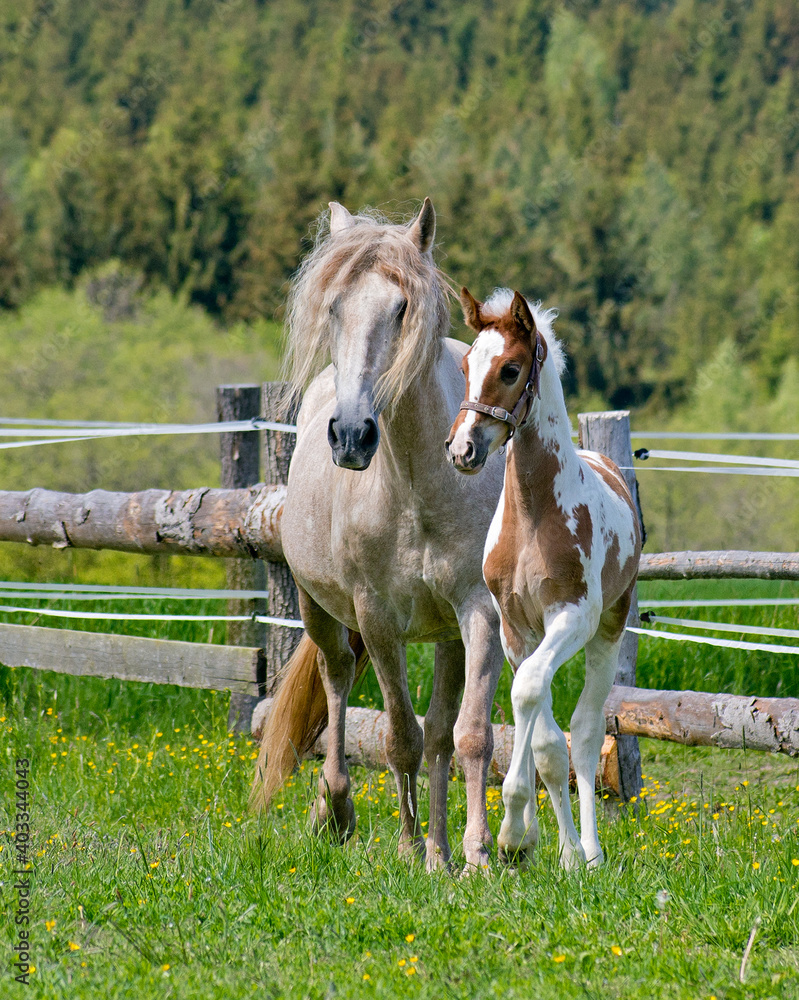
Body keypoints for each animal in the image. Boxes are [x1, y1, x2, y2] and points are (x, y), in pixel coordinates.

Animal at [251, 200, 506, 873]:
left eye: (401, 309)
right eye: (333, 307)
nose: (350, 435)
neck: (418, 487)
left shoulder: (478, 614)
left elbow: (467, 736)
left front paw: (467, 854)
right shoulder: (378, 619)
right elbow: (399, 737)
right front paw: (407, 845)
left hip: (444, 634)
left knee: (441, 732)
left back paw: (439, 847)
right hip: (321, 611)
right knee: (338, 680)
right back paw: (335, 806)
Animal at [445, 287, 641, 868]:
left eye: (510, 370)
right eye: (465, 366)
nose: (462, 450)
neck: (533, 516)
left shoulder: (571, 618)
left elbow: (537, 702)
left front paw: (523, 836)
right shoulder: (515, 629)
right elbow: (541, 738)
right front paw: (529, 839)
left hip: (608, 630)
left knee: (587, 729)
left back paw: (592, 853)